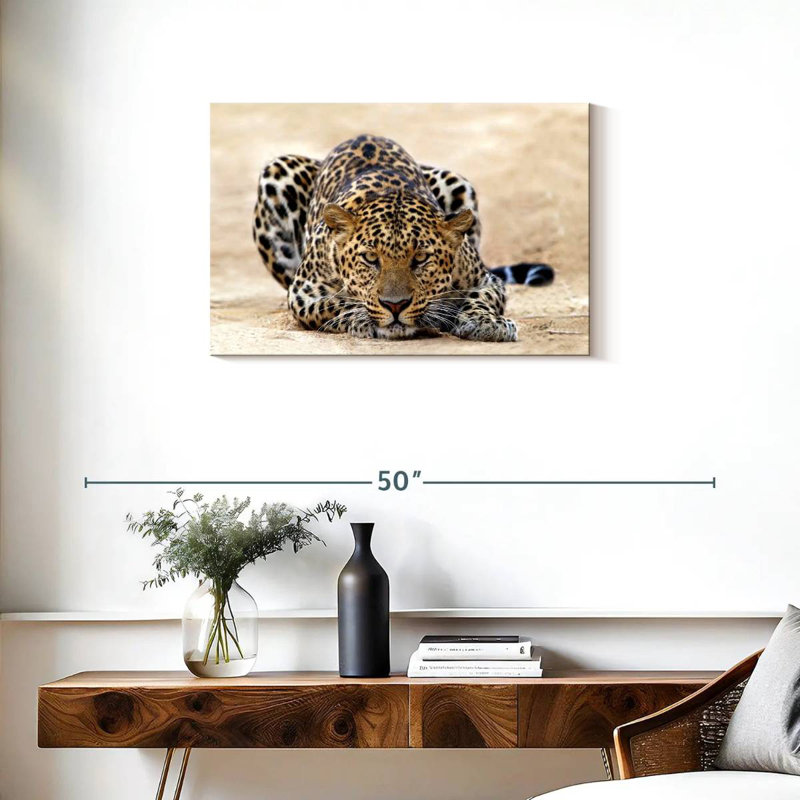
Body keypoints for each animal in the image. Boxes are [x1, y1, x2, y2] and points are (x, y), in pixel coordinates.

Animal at [252, 134, 553, 342]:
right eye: (370, 258)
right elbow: (337, 303)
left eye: (420, 259)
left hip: (456, 181)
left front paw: (486, 323)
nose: (395, 305)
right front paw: (362, 318)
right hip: (276, 172)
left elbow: (482, 298)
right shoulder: (302, 293)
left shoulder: (485, 279)